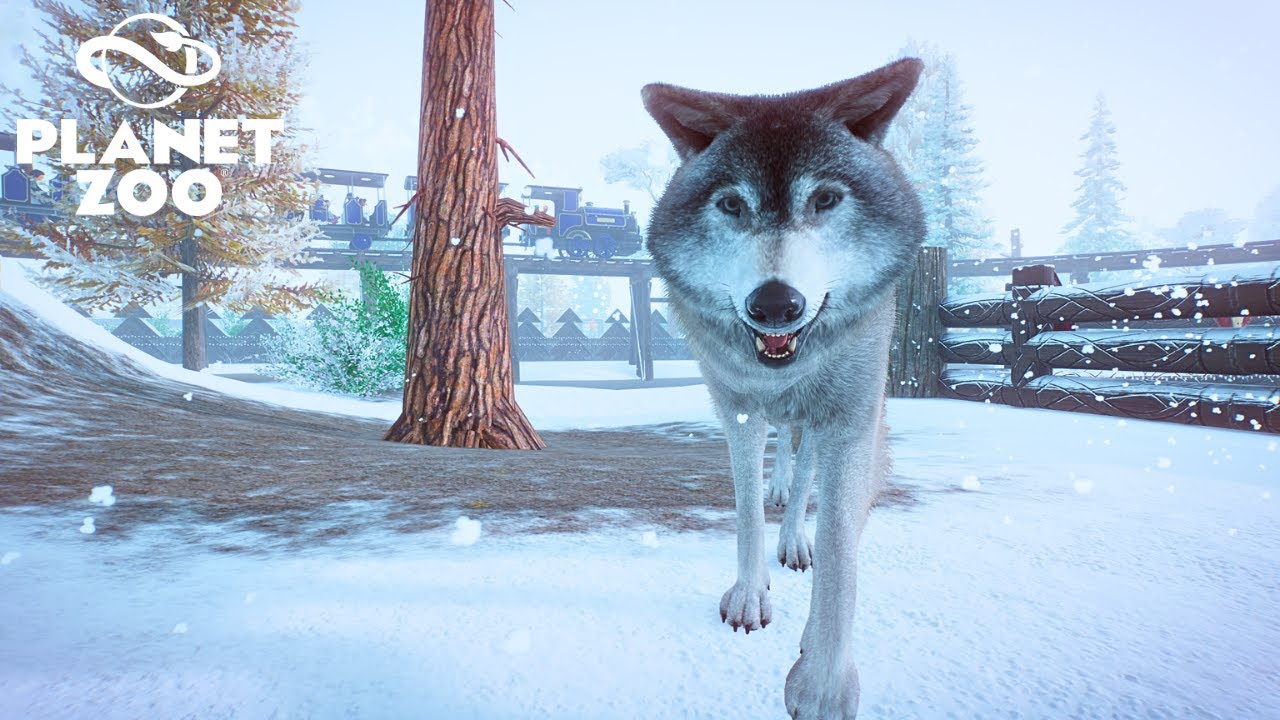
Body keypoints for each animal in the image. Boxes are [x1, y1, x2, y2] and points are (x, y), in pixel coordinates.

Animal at [641, 58, 925, 718]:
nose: (774, 304)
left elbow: (841, 547)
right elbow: (746, 513)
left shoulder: (850, 420)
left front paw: (822, 680)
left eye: (825, 199)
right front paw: (750, 596)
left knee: (806, 476)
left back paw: (795, 540)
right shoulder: (739, 411)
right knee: (785, 461)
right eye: (731, 204)